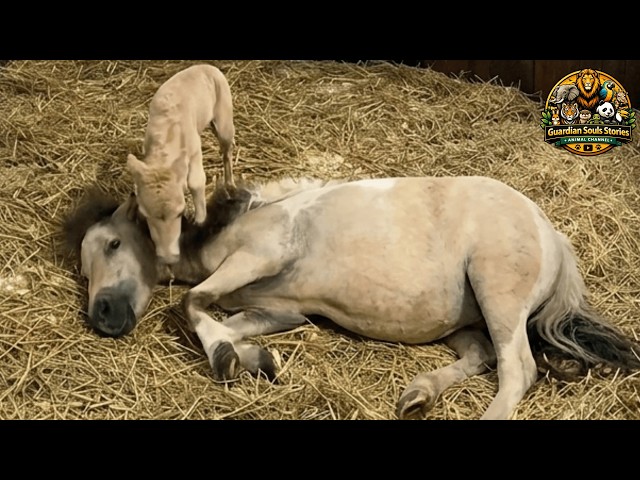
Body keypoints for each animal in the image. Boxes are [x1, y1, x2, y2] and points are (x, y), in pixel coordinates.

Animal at [62, 175, 640, 420]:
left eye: (113, 243)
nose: (103, 316)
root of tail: (553, 236)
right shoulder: (280, 310)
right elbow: (219, 316)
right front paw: (256, 359)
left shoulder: (261, 256)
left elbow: (188, 305)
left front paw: (229, 358)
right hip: (466, 320)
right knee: (481, 356)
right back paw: (419, 395)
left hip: (497, 295)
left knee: (517, 368)